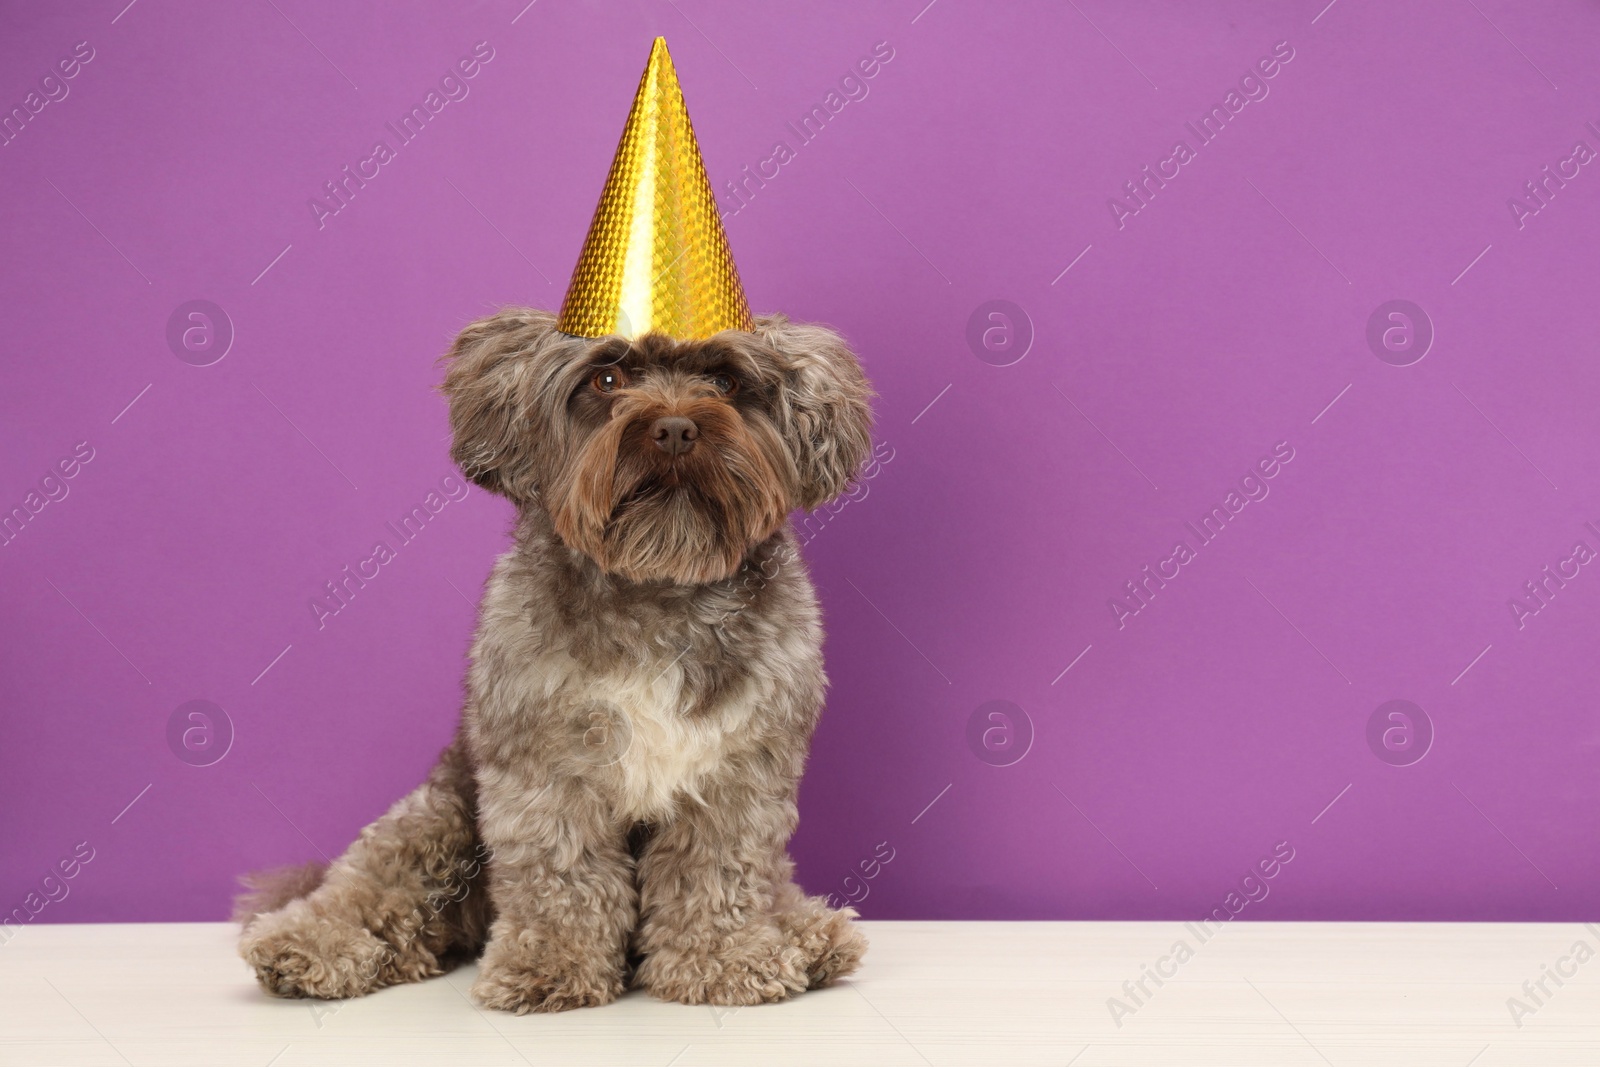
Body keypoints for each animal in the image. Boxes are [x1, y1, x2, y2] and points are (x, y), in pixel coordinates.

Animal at [233, 307, 876, 1011]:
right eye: (606, 377)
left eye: (725, 381)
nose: (676, 428)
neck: (656, 587)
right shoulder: (546, 770)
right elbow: (560, 876)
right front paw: (552, 965)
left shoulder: (737, 771)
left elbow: (718, 872)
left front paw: (724, 961)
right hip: (439, 816)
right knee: (374, 883)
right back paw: (305, 945)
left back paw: (808, 933)